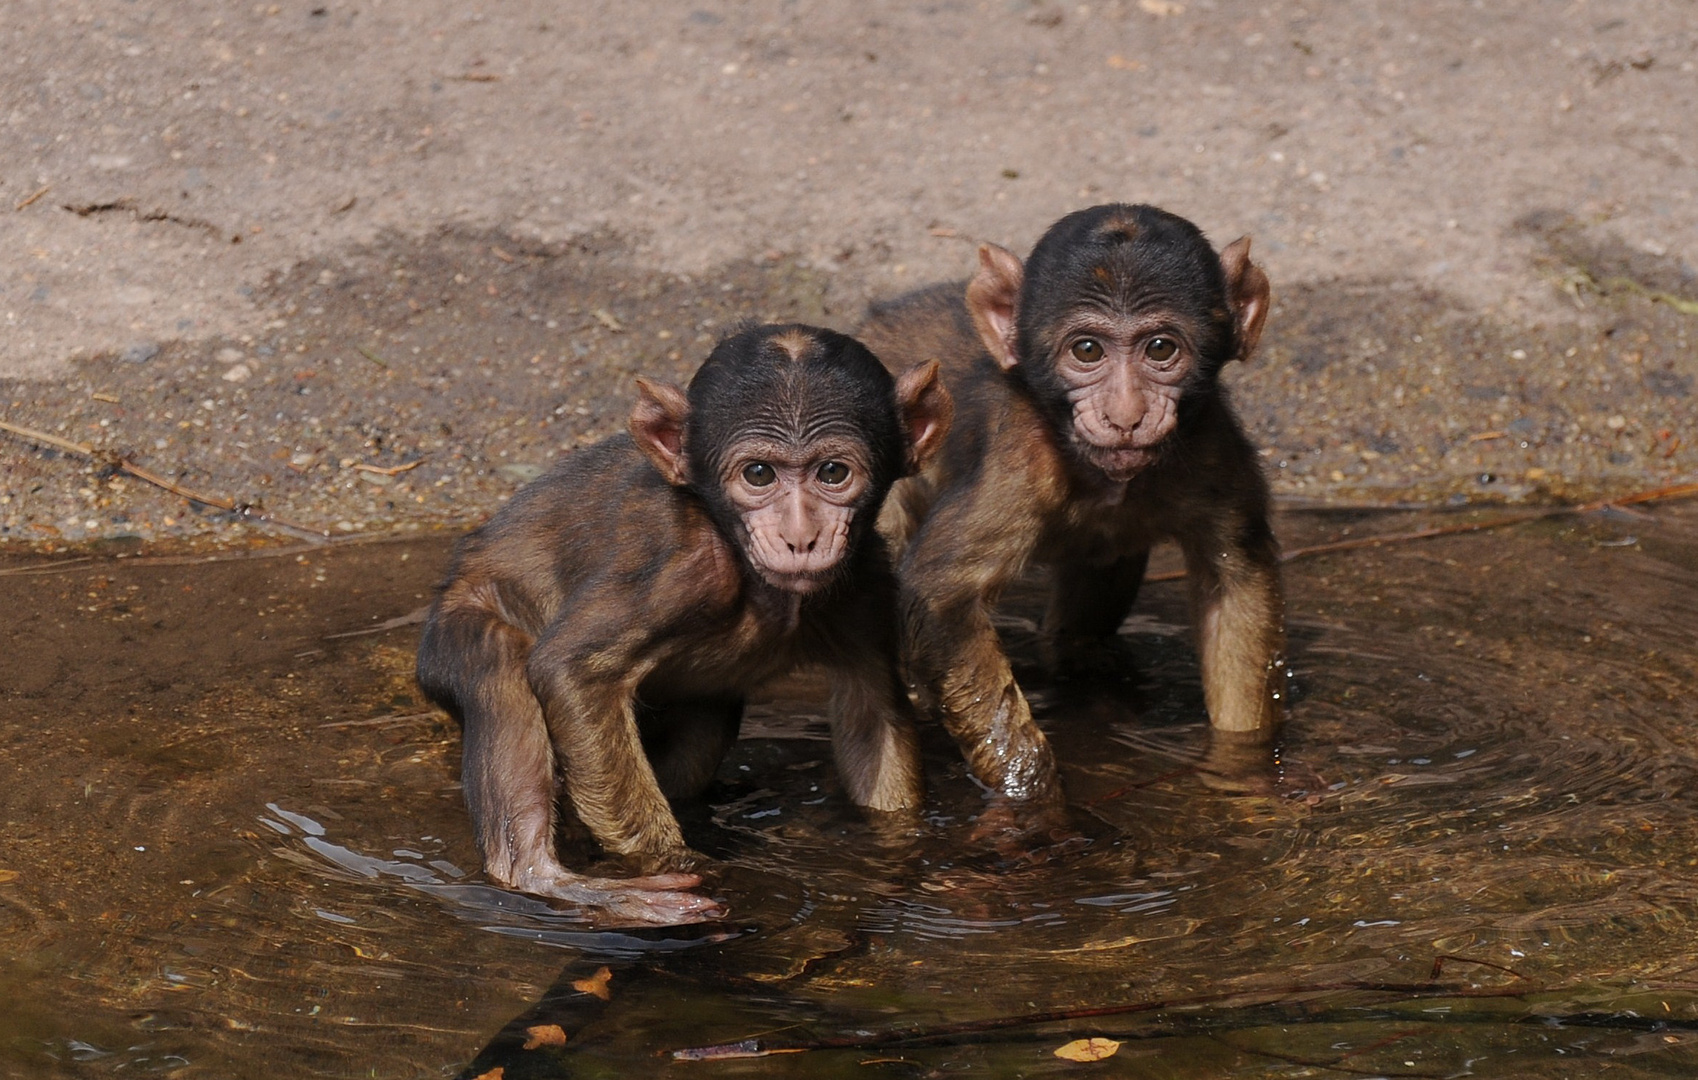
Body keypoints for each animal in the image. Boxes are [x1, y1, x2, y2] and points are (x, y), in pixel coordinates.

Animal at [416, 324, 957, 923]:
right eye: (759, 474)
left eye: (833, 473)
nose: (800, 536)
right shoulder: (681, 566)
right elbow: (571, 670)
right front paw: (676, 863)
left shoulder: (866, 584)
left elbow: (872, 712)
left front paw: (900, 855)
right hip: (457, 622)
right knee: (499, 671)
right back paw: (545, 878)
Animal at [862, 202, 1283, 808]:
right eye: (1087, 351)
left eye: (1161, 349)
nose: (1126, 414)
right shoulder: (1018, 460)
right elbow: (938, 593)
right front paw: (1031, 793)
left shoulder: (1211, 446)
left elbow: (1237, 578)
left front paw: (1241, 765)